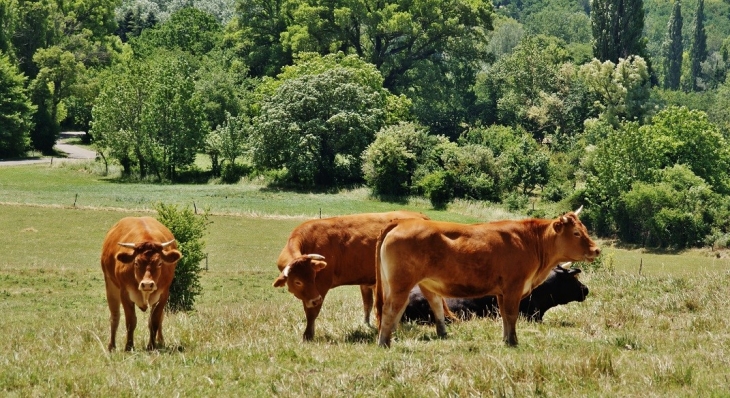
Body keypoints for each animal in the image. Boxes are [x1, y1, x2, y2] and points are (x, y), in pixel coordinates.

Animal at [101, 218, 181, 352]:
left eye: (160, 263)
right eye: (136, 263)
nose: (147, 284)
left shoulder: (163, 294)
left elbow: (154, 320)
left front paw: (152, 346)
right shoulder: (125, 294)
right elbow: (130, 321)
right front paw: (129, 346)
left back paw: (160, 340)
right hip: (110, 286)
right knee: (115, 316)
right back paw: (111, 346)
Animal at [272, 210, 426, 340]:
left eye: (314, 277)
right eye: (298, 281)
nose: (316, 299)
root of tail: (421, 217)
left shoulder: (321, 286)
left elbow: (312, 313)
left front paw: (308, 335)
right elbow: (367, 304)